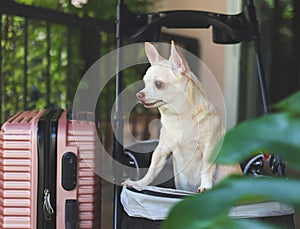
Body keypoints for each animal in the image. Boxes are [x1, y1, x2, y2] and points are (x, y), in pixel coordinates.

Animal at [122, 42, 241, 192]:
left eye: (158, 84)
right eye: (144, 83)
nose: (139, 94)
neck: (179, 117)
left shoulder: (209, 148)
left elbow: (206, 169)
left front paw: (205, 186)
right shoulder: (162, 150)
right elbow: (152, 170)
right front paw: (139, 183)